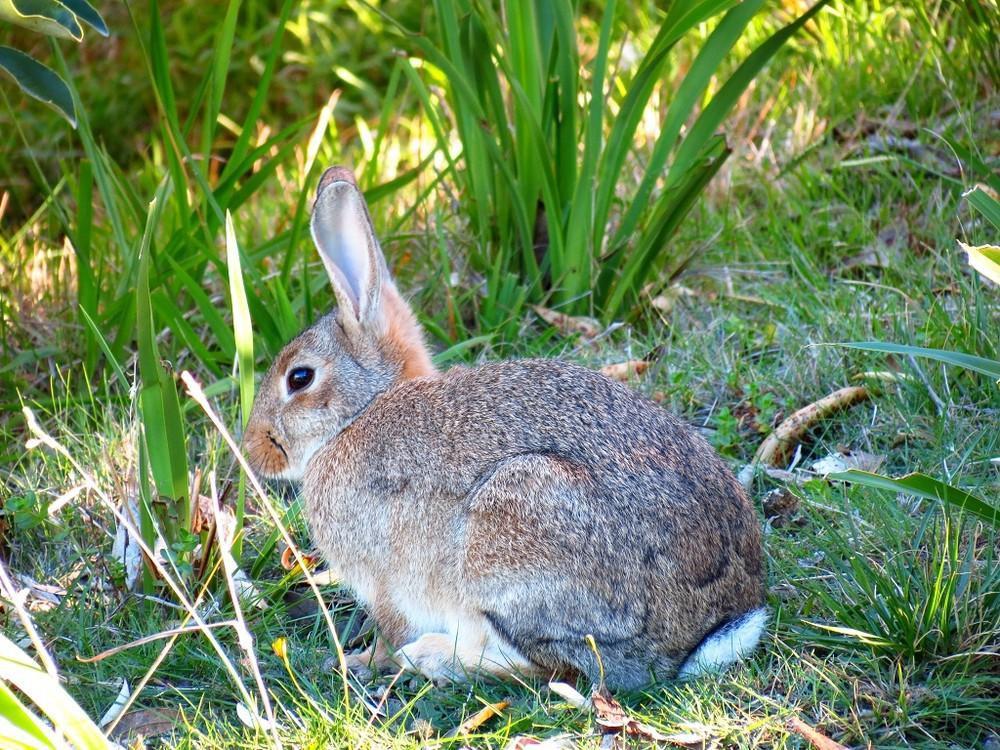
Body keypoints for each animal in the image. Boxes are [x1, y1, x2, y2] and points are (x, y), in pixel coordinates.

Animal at [242, 166, 764, 692]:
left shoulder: (385, 582)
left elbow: (390, 630)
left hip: (510, 540)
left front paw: (360, 662)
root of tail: (702, 631)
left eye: (299, 377)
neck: (361, 411)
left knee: (557, 667)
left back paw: (432, 659)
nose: (252, 450)